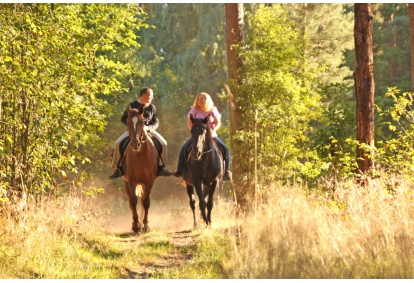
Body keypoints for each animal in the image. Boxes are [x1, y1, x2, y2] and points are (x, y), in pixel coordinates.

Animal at [121, 105, 158, 234]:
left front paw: (145, 225)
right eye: (128, 122)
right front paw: (136, 226)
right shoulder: (131, 180)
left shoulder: (149, 181)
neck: (140, 154)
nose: (135, 144)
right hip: (127, 182)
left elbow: (146, 202)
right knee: (131, 201)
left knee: (142, 200)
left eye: (142, 122)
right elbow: (133, 201)